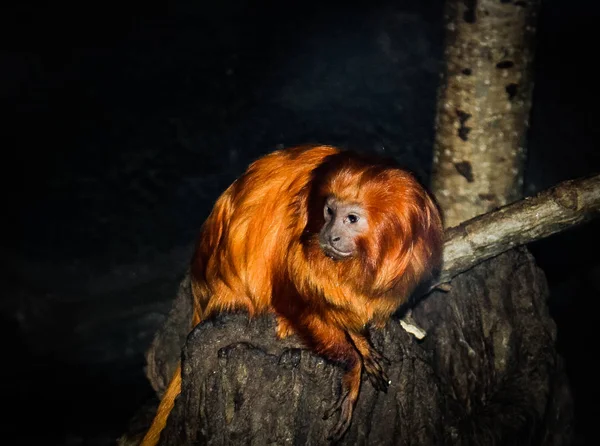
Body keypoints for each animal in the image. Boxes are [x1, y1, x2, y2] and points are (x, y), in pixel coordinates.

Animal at [139, 145, 440, 444]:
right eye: (329, 212)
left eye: (351, 219)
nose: (329, 235)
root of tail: (200, 294)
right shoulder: (299, 241)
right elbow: (293, 300)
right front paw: (353, 365)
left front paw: (360, 342)